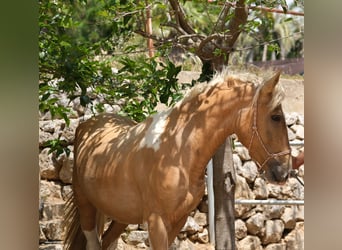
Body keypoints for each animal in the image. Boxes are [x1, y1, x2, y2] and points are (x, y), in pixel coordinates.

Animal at [63, 70, 292, 250]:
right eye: (275, 117)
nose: (284, 171)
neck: (176, 151)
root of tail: (88, 125)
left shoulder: (179, 220)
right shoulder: (156, 222)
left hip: (120, 216)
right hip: (86, 206)